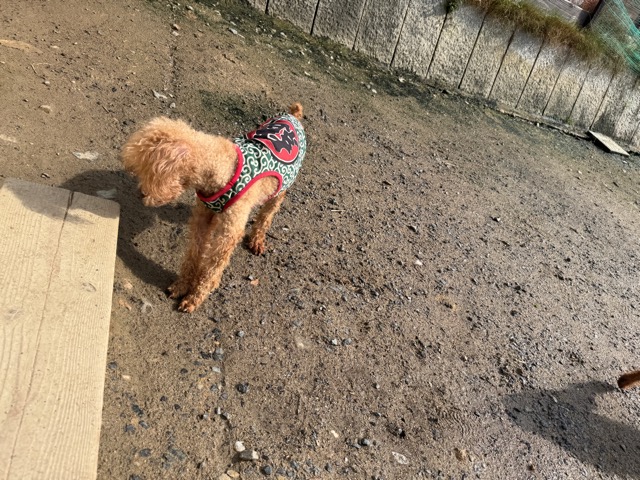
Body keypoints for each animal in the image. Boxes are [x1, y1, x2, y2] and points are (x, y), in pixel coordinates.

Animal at [122, 102, 306, 312]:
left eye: (151, 172)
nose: (141, 194)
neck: (222, 170)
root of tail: (292, 116)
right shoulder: (202, 218)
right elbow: (194, 254)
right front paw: (182, 285)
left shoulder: (229, 232)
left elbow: (211, 269)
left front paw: (195, 296)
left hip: (281, 187)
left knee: (267, 215)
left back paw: (257, 239)